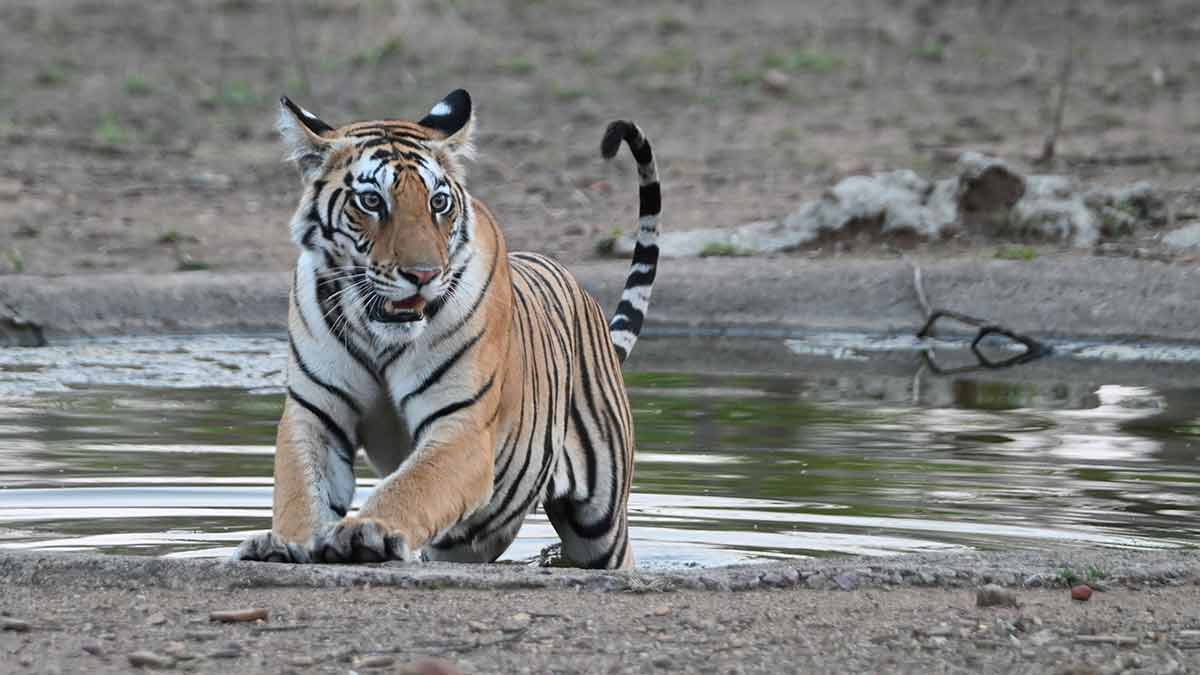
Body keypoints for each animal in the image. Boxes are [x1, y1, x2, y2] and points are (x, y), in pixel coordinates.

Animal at [232, 88, 661, 569]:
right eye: (371, 202)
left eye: (438, 203)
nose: (423, 275)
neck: (377, 332)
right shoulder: (315, 414)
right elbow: (300, 490)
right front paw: (284, 543)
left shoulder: (461, 426)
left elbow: (411, 487)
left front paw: (366, 531)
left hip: (600, 526)